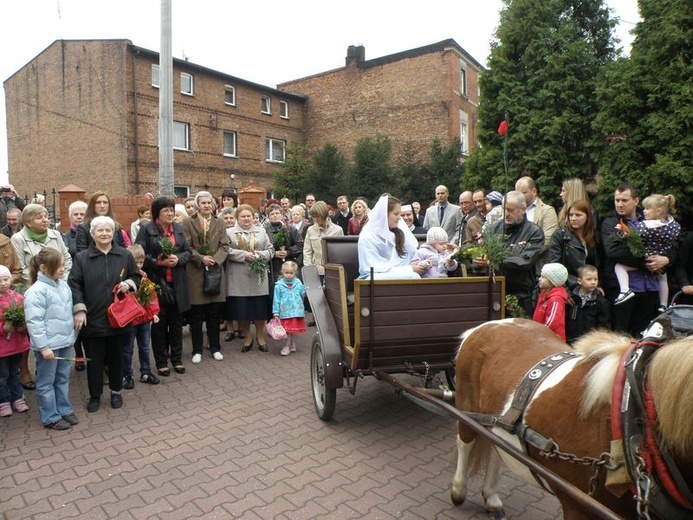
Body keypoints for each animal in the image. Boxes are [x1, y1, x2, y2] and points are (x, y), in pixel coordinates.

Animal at [448, 318, 692, 516]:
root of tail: (486, 325)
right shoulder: (577, 505)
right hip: (466, 407)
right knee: (464, 442)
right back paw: (458, 490)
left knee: (494, 447)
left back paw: (491, 498)